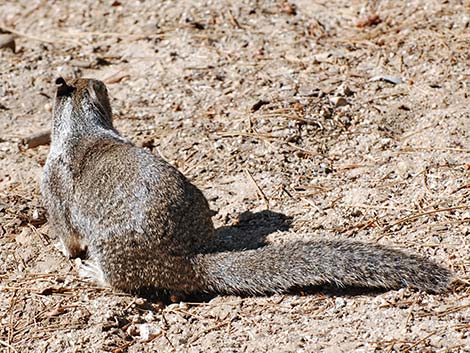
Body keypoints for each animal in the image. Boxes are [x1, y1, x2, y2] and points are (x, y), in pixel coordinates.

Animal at [40, 78, 452, 296]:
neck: (82, 127)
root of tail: (191, 260)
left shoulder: (52, 189)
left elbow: (67, 234)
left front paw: (64, 251)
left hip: (112, 254)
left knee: (120, 285)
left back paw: (94, 273)